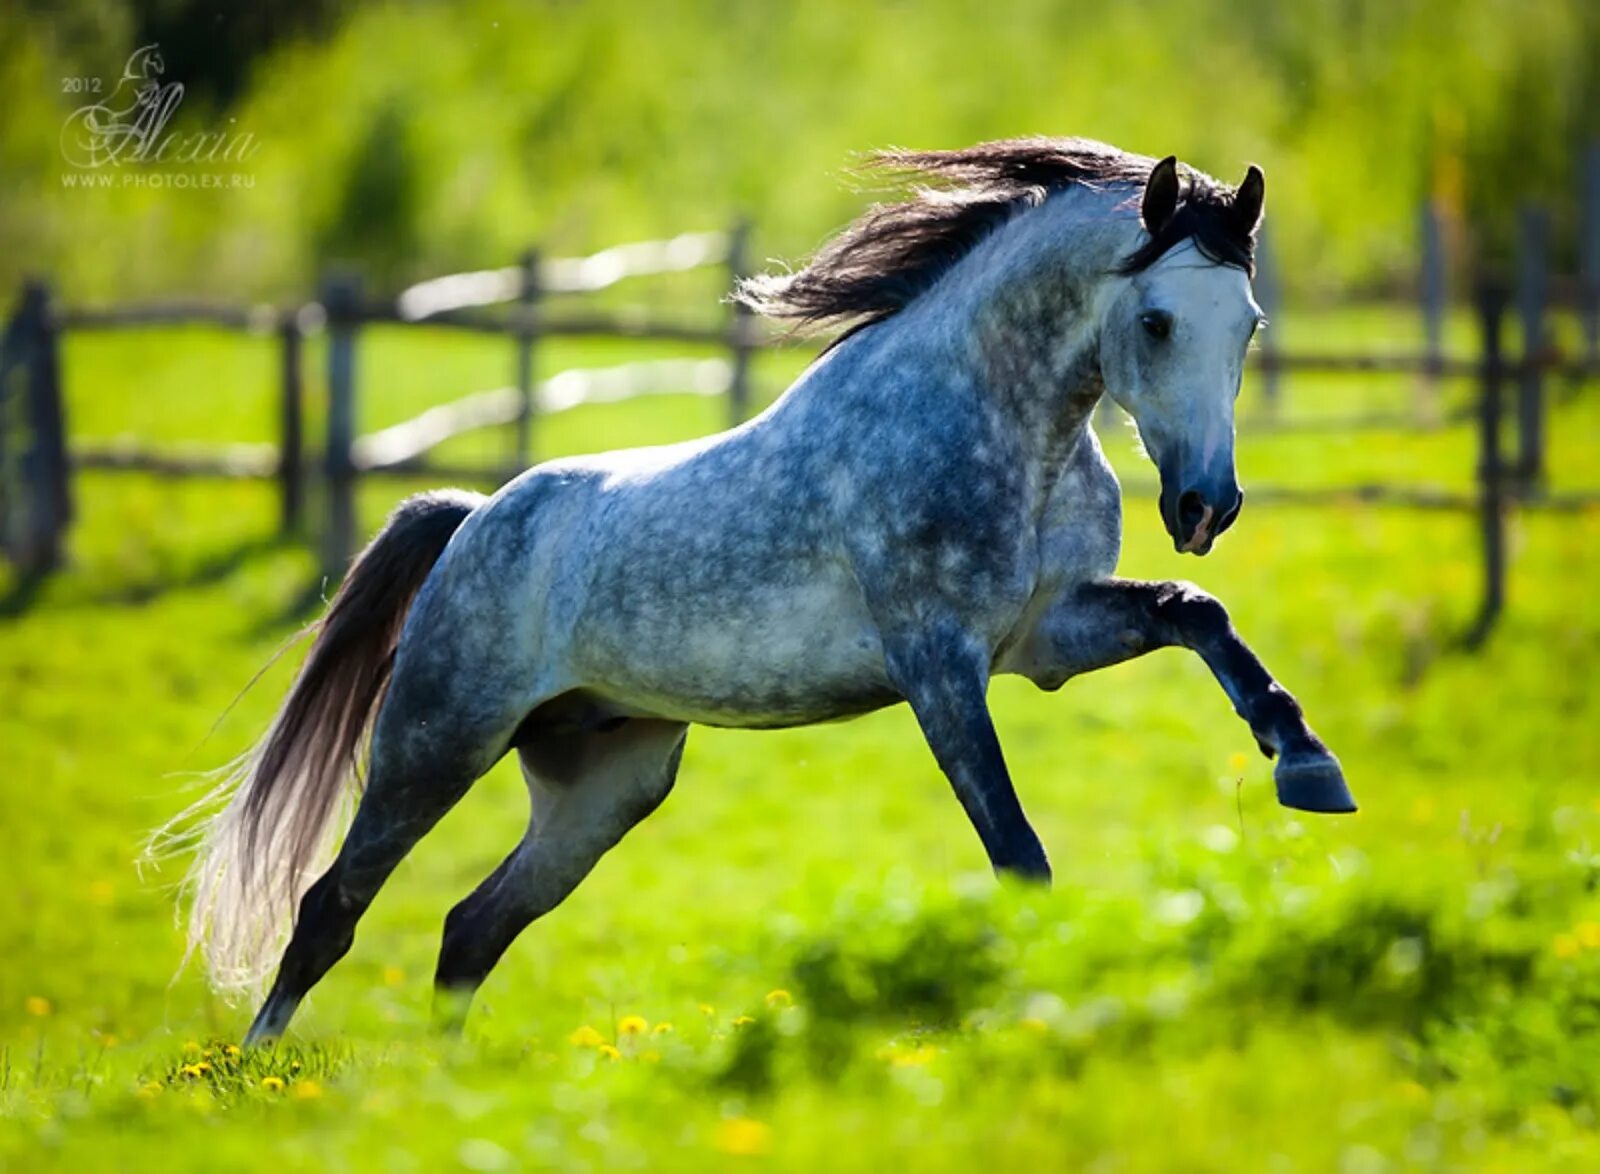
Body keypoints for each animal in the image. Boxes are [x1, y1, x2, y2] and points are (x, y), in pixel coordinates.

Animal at [172, 137, 1350, 1049]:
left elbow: (1196, 615)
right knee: (331, 909)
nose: (1205, 505)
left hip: (605, 785)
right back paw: (260, 1080)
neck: (1002, 425)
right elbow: (1018, 854)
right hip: (437, 742)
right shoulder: (940, 665)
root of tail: (472, 521)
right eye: (1155, 321)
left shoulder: (1044, 638)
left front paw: (1306, 765)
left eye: (1247, 323)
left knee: (470, 929)